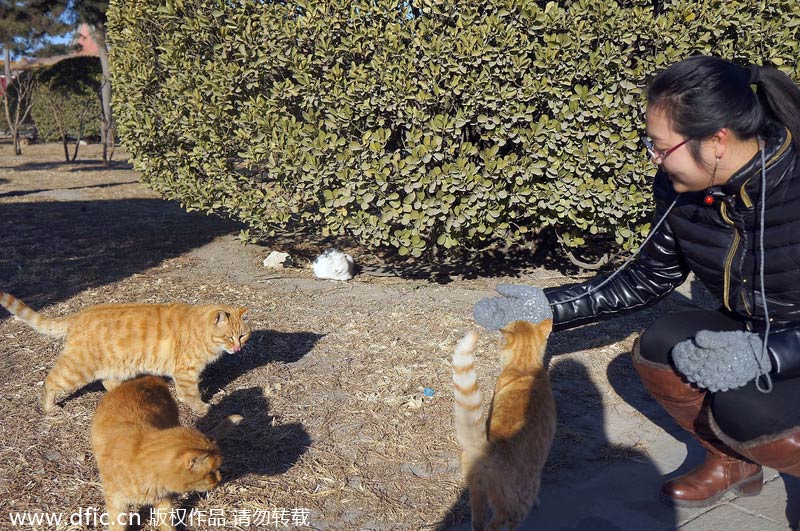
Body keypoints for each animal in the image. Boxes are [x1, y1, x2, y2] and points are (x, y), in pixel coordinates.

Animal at [0, 294, 250, 414]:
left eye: (243, 336)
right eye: (229, 337)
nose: (238, 349)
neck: (198, 329)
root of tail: (79, 314)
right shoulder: (185, 372)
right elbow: (191, 394)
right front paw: (201, 407)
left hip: (117, 366)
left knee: (108, 382)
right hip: (77, 369)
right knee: (51, 381)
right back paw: (49, 407)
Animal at [450, 320, 556, 531]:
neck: (524, 367)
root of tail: (488, 449)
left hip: (477, 493)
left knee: (478, 523)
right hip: (518, 502)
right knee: (498, 524)